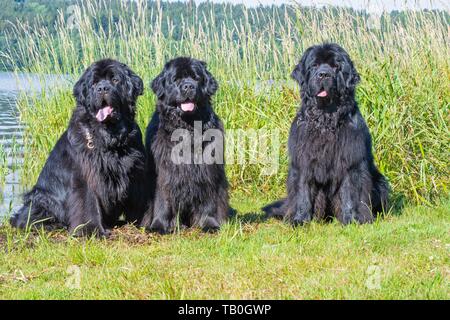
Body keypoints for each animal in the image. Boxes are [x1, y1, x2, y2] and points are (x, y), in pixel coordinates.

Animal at [9, 58, 146, 236]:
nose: (102, 88)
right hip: (42, 198)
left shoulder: (134, 170)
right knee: (25, 219)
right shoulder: (86, 174)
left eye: (115, 80)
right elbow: (88, 202)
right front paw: (90, 230)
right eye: (94, 83)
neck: (109, 137)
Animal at [142, 57, 229, 232]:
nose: (188, 86)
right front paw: (159, 225)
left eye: (196, 78)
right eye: (175, 79)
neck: (187, 127)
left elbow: (208, 200)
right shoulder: (163, 171)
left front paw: (209, 224)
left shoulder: (207, 169)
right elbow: (162, 199)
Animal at [266, 43, 388, 225]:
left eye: (335, 66)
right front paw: (300, 220)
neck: (325, 119)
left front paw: (352, 219)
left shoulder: (350, 160)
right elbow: (302, 192)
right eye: (314, 65)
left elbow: (350, 192)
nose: (323, 74)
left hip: (380, 183)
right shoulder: (304, 160)